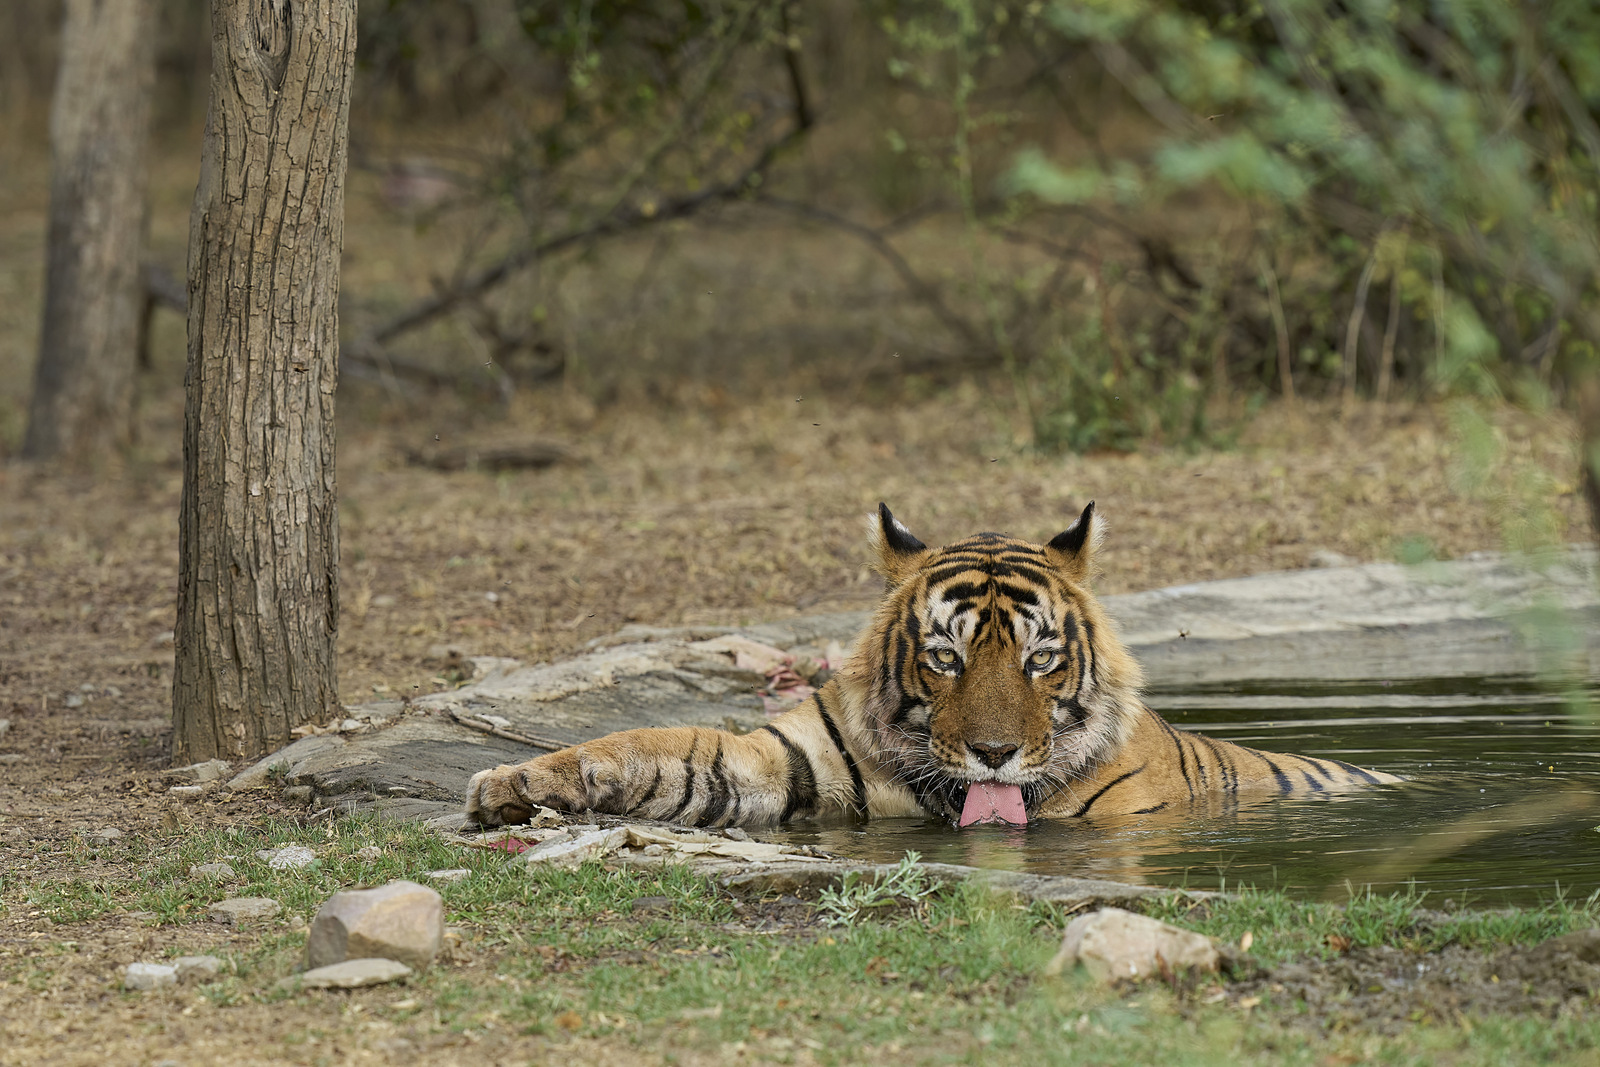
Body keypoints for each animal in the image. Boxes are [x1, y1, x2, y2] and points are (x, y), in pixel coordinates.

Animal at [465, 502, 1400, 829]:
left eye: (1041, 659)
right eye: (946, 657)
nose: (994, 754)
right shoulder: (780, 757)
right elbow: (664, 748)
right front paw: (521, 780)